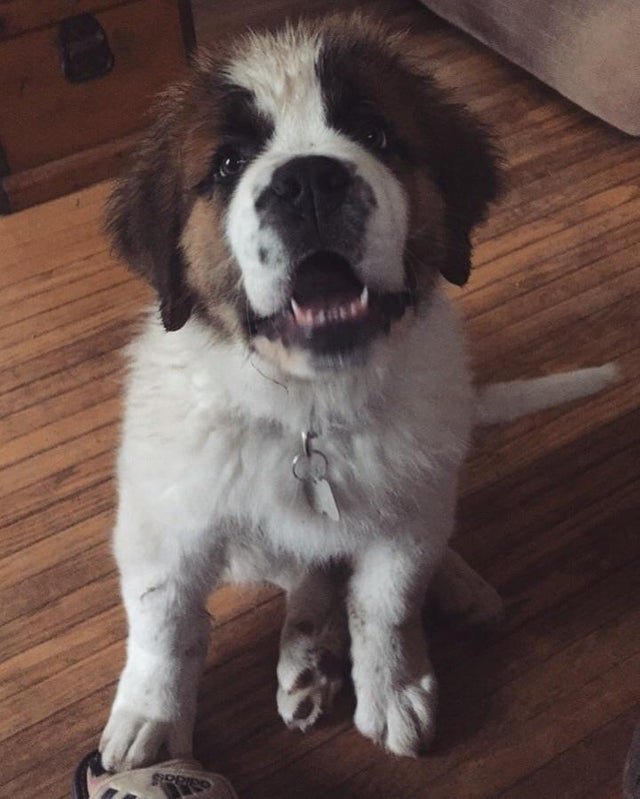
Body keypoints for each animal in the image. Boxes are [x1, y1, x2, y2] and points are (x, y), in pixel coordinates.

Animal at [100, 14, 620, 776]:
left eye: (375, 133)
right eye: (227, 164)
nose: (308, 181)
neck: (308, 409)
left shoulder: (405, 521)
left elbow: (387, 602)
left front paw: (394, 684)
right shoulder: (167, 521)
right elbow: (164, 625)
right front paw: (151, 718)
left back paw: (446, 590)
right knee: (304, 569)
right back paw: (309, 653)